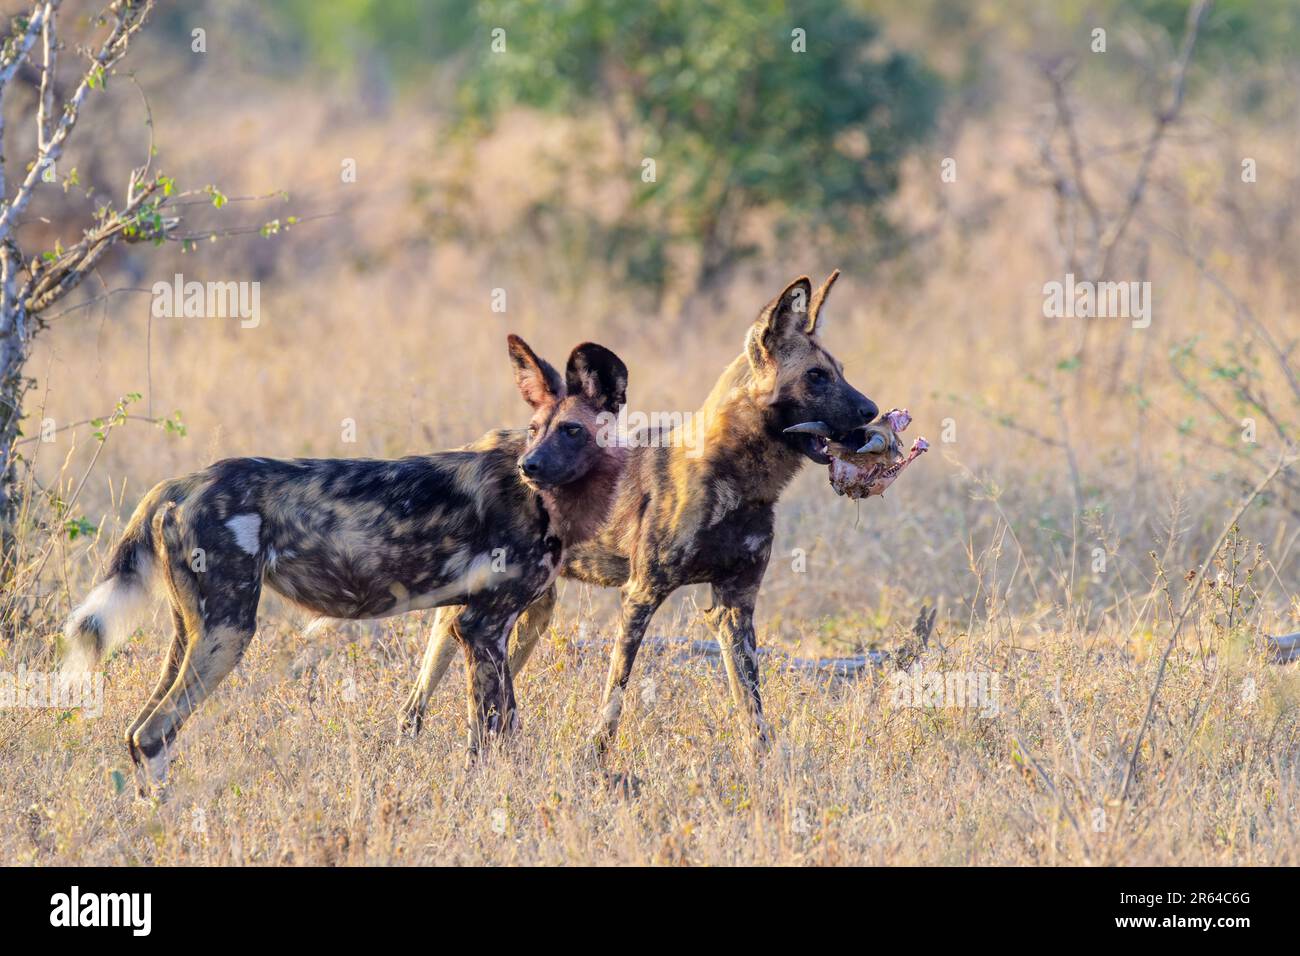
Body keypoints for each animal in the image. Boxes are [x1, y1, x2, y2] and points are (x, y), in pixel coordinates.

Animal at [63, 335, 626, 790]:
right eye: (535, 429)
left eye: (571, 431)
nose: (531, 467)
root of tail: (178, 484)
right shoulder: (483, 627)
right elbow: (497, 733)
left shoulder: (465, 625)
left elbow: (468, 721)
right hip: (228, 632)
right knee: (154, 733)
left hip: (191, 632)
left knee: (138, 732)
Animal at [400, 269, 878, 749]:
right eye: (816, 376)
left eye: (840, 373)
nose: (871, 410)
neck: (736, 479)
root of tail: (479, 445)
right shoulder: (640, 595)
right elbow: (616, 694)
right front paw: (595, 755)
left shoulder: (735, 607)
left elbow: (753, 709)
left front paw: (766, 763)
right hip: (474, 610)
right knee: (418, 698)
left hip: (531, 611)